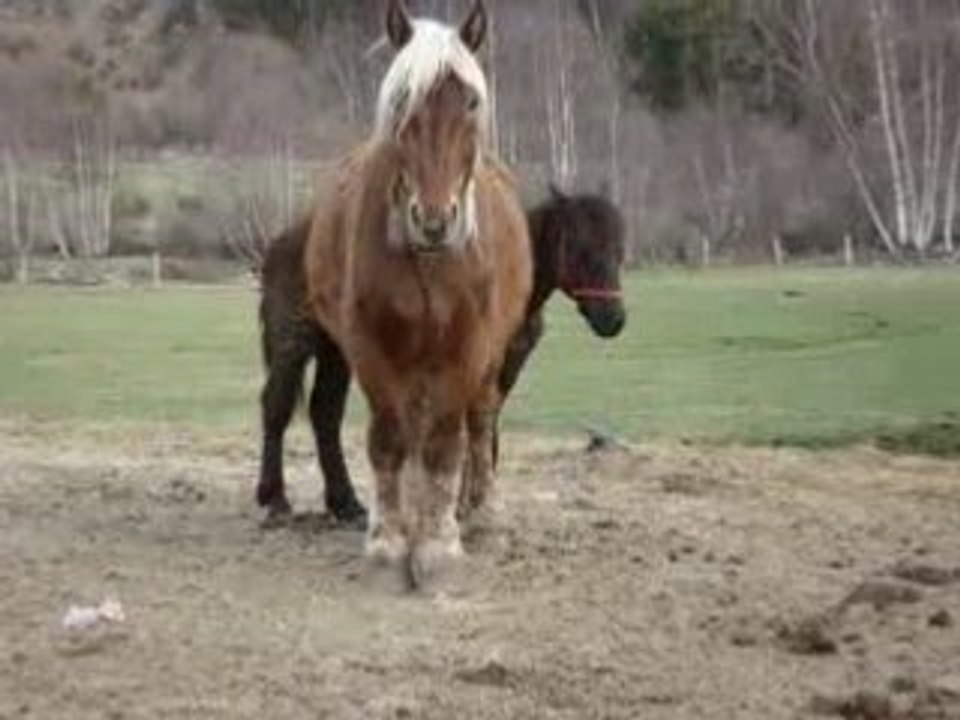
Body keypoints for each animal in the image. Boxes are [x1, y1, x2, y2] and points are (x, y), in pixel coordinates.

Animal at [256, 186, 626, 526]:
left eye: (618, 251)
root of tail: (285, 240)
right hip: (292, 342)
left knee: (325, 414)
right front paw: (458, 508)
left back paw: (345, 504)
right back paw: (275, 500)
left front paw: (477, 504)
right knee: (276, 408)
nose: (613, 320)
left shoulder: (503, 370)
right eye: (581, 249)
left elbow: (485, 431)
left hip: (335, 351)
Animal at [301, 0, 531, 582]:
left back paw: (481, 515)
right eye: (403, 99)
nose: (433, 220)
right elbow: (388, 440)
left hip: (489, 356)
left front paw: (440, 543)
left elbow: (448, 444)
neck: (427, 259)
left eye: (470, 101)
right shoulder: (371, 348)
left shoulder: (467, 349)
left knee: (479, 421)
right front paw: (389, 539)